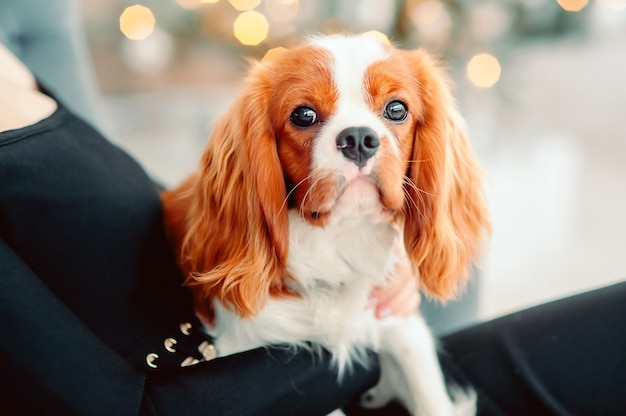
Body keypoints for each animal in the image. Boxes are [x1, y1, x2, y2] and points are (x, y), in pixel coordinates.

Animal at [161, 34, 488, 414]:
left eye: (397, 109)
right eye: (304, 115)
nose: (359, 137)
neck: (337, 240)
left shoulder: (400, 325)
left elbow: (429, 398)